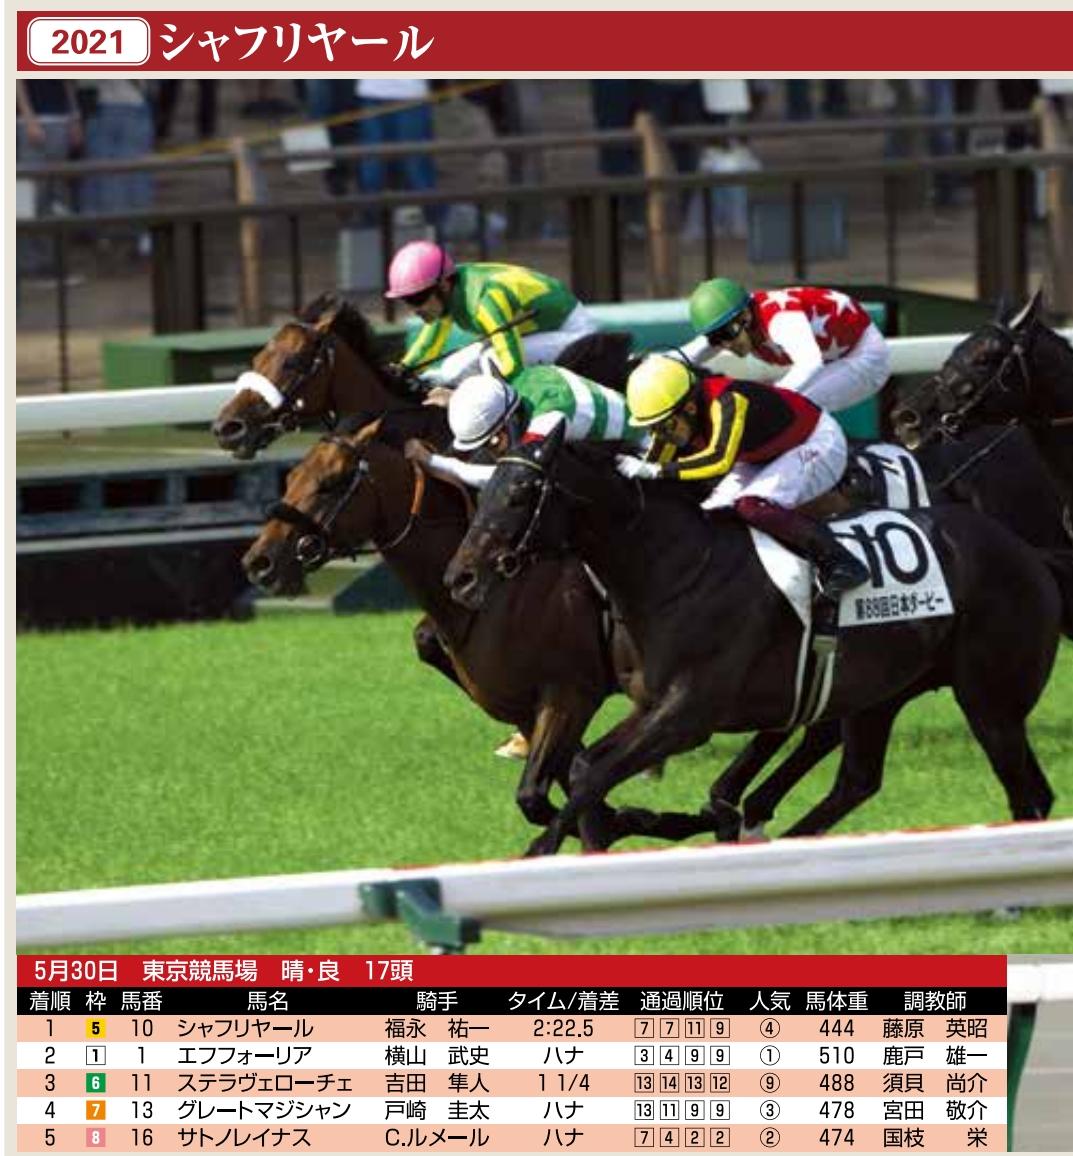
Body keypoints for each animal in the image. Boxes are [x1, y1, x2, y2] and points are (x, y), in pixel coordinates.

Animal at [241, 416, 710, 849]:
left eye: (331, 483)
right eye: (292, 477)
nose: (259, 561)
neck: (502, 594)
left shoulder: (570, 694)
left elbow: (545, 795)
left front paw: (649, 820)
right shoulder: (527, 708)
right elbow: (557, 792)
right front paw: (635, 820)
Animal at [444, 426, 1069, 856]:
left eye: (521, 492)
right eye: (486, 488)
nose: (460, 578)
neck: (671, 567)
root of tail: (1025, 550)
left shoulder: (689, 713)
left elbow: (595, 774)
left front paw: (544, 849)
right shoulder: (651, 705)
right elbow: (584, 770)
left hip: (990, 700)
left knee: (1027, 793)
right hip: (880, 694)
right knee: (857, 780)